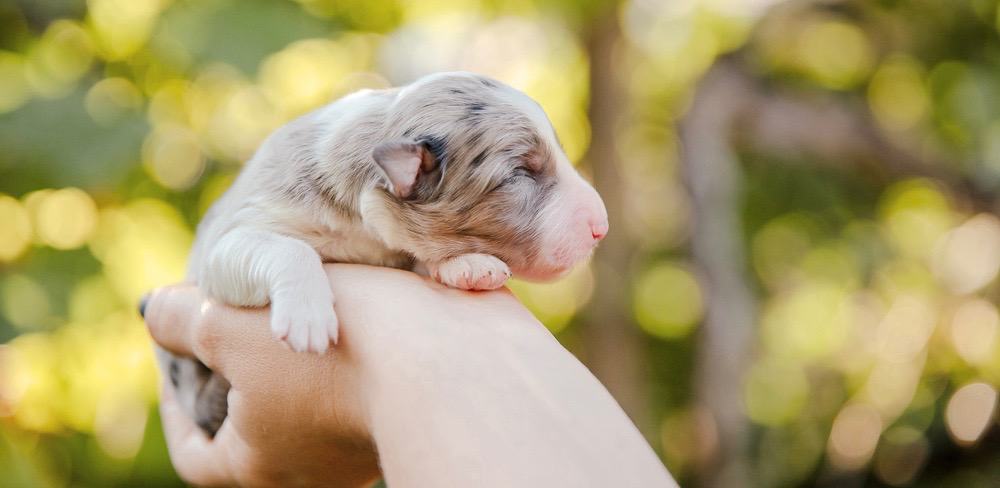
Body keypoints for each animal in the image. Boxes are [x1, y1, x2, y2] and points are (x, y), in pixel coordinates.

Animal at [164, 71, 608, 434]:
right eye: (521, 173)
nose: (601, 227)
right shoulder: (233, 234)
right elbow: (286, 249)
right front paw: (308, 315)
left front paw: (466, 264)